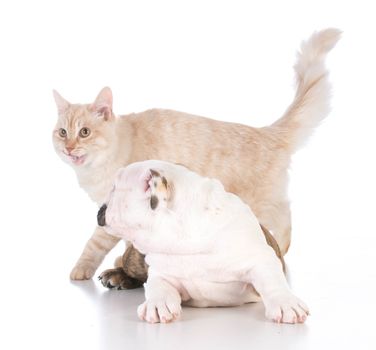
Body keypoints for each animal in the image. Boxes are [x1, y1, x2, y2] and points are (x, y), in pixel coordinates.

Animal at [50, 27, 340, 284]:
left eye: (84, 132)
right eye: (63, 132)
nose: (69, 148)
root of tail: (267, 132)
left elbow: (97, 242)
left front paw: (84, 269)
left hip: (260, 208)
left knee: (283, 230)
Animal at [98, 160, 306, 324]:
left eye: (114, 189)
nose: (101, 207)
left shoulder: (260, 258)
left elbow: (272, 280)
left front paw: (285, 303)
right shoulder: (160, 272)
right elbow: (158, 286)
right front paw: (157, 304)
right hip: (134, 259)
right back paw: (117, 276)